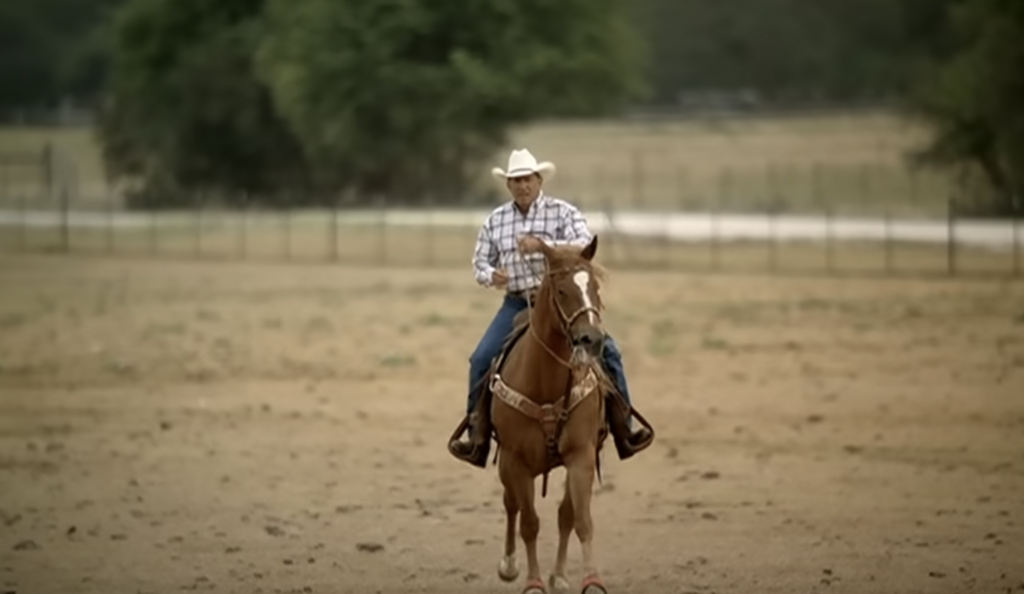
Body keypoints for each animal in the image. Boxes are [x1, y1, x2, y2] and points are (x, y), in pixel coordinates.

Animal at [487, 235, 614, 594]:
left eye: (594, 286)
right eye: (561, 290)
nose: (591, 339)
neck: (544, 382)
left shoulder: (582, 455)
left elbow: (580, 519)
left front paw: (591, 580)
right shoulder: (515, 460)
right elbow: (529, 523)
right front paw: (532, 582)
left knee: (564, 514)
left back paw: (558, 575)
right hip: (506, 464)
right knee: (511, 504)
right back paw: (509, 564)